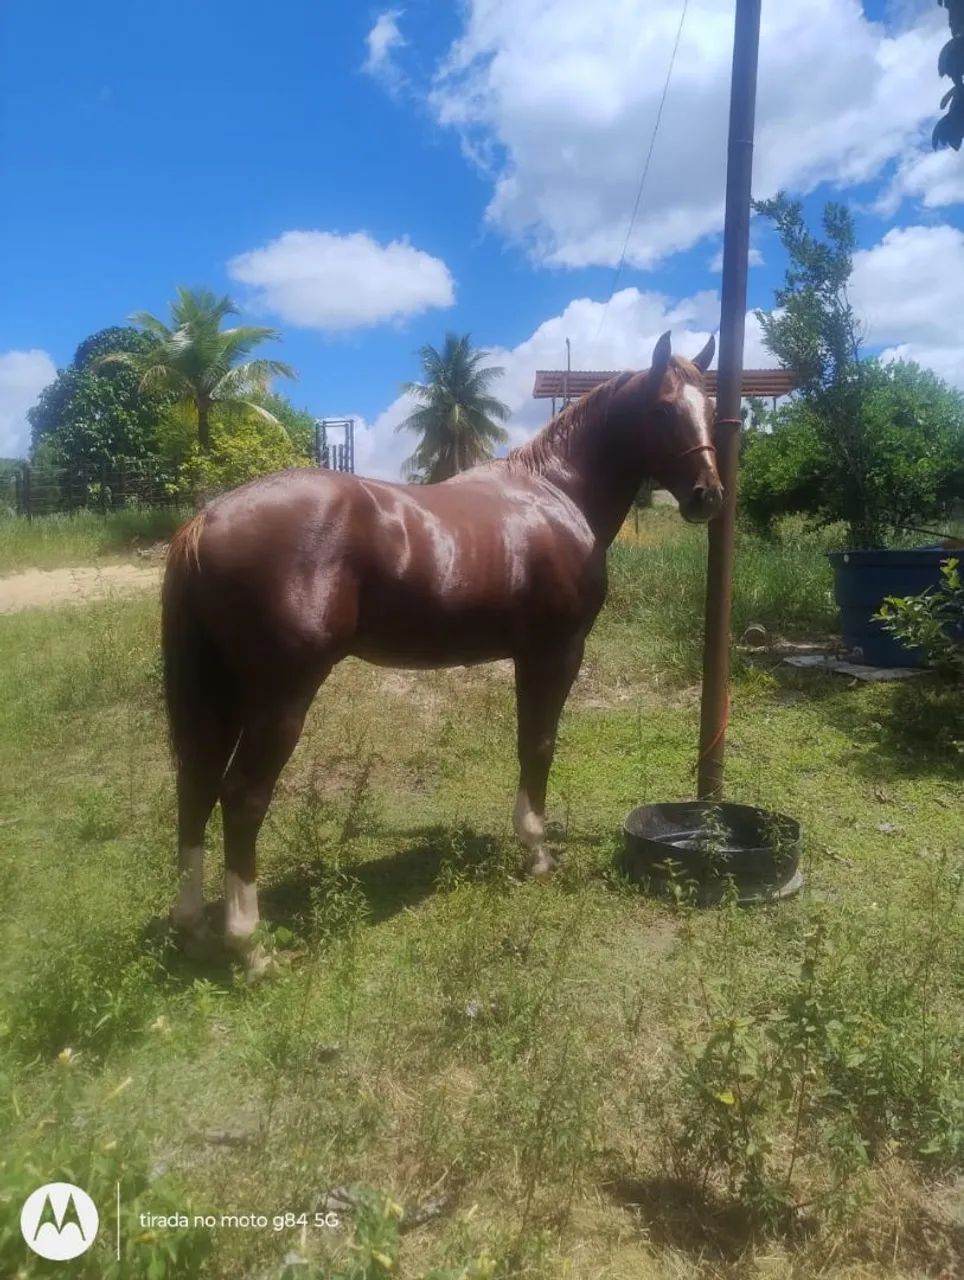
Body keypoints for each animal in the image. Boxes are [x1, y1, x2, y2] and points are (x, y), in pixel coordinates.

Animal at [162, 330, 721, 973]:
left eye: (712, 407)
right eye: (663, 409)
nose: (708, 496)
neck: (557, 493)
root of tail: (207, 520)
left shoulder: (528, 655)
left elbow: (527, 742)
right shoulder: (556, 651)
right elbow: (540, 744)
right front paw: (536, 852)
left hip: (221, 689)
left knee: (196, 784)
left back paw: (193, 926)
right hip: (280, 697)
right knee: (241, 796)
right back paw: (249, 945)